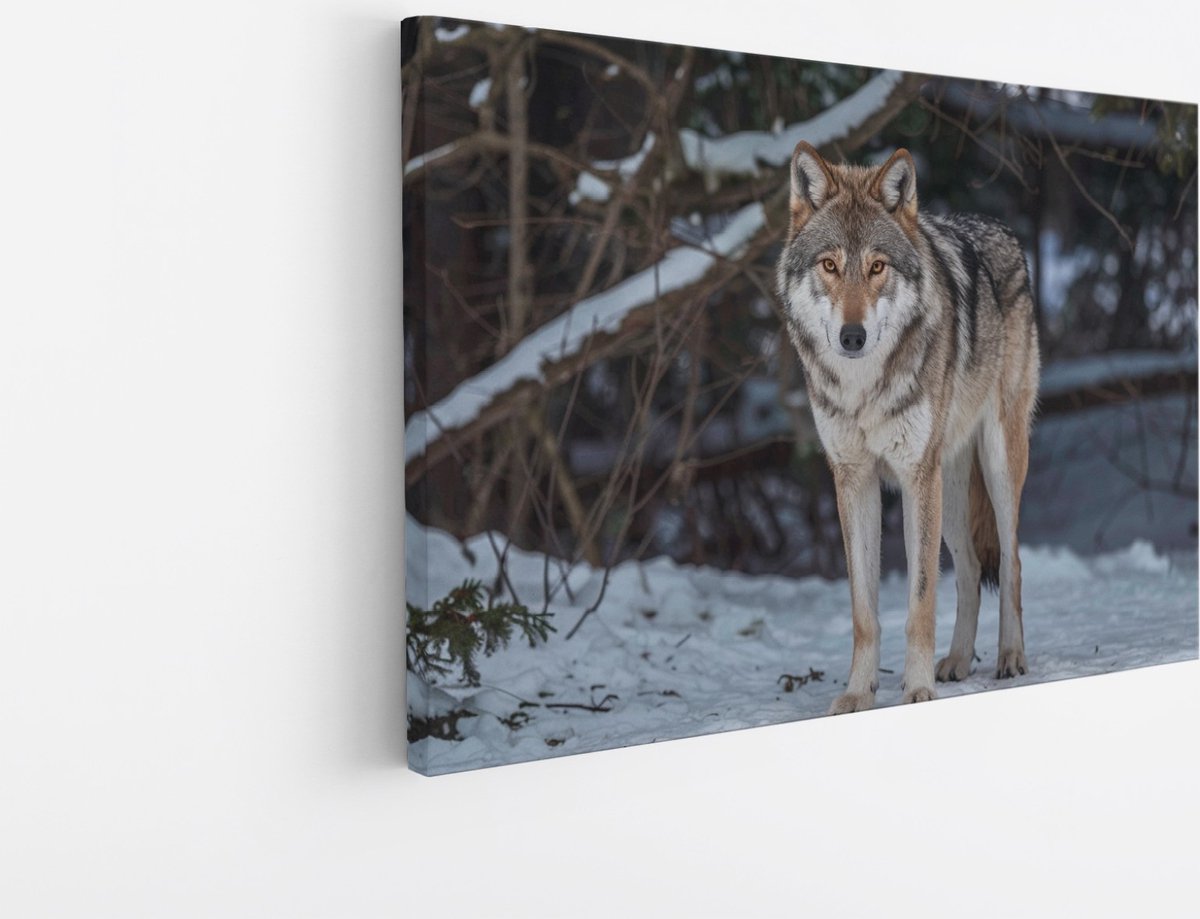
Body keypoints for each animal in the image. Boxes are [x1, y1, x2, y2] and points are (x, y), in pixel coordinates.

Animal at [775, 141, 1040, 714]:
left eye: (877, 267)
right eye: (830, 265)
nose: (852, 337)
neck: (862, 389)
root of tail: (1001, 229)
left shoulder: (916, 475)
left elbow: (920, 601)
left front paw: (918, 690)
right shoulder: (855, 479)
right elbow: (864, 611)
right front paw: (858, 693)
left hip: (995, 463)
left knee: (1011, 561)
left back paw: (1010, 657)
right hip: (951, 488)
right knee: (969, 569)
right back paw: (958, 661)